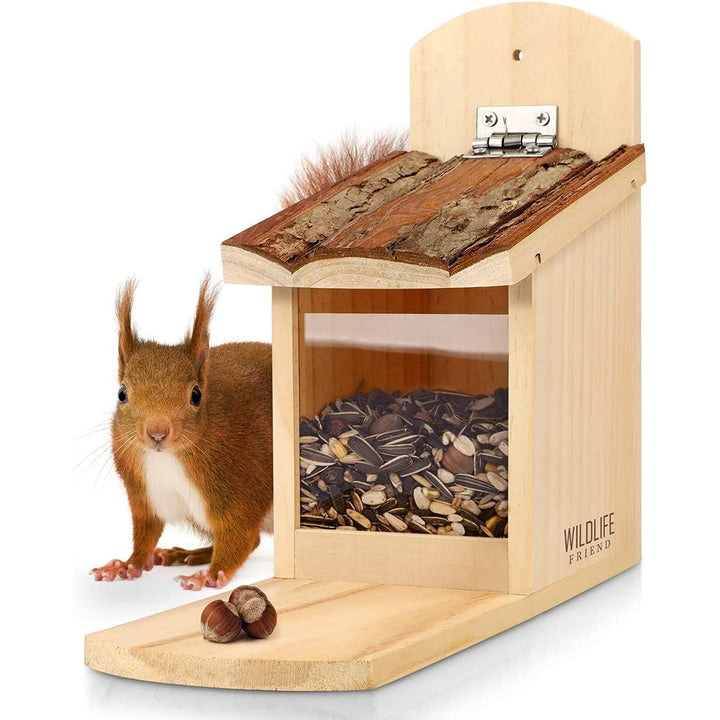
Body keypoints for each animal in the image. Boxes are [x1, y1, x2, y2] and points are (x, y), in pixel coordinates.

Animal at [91, 130, 407, 590]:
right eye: (121, 393)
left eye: (196, 395)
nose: (156, 433)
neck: (167, 460)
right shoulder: (144, 495)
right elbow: (145, 533)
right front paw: (126, 564)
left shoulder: (238, 486)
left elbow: (240, 536)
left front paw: (213, 576)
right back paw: (186, 553)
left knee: (253, 538)